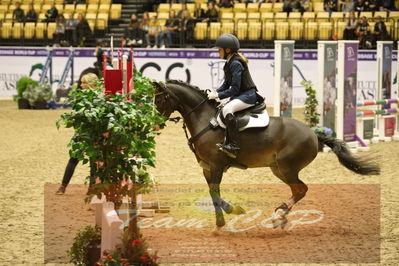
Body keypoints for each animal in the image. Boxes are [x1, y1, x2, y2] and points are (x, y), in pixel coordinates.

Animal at [153, 79, 382, 233]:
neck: (205, 120)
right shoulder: (207, 167)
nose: (155, 125)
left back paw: (279, 215)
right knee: (300, 190)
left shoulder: (216, 165)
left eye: (160, 99)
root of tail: (313, 134)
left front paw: (220, 224)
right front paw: (233, 210)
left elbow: (214, 193)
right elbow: (213, 193)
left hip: (287, 168)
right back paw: (281, 216)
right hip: (278, 169)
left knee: (300, 189)